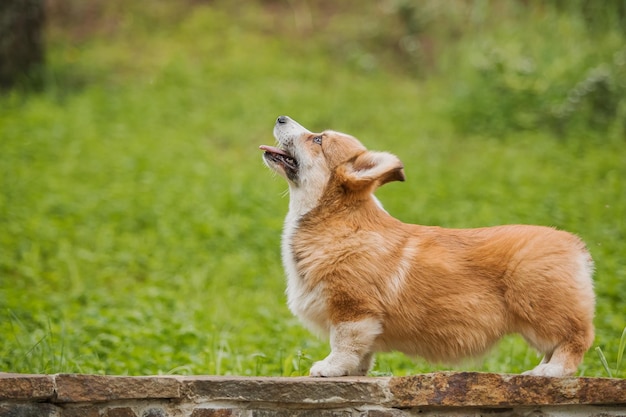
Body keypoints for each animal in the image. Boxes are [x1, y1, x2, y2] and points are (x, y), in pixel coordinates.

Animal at [258, 114, 596, 376]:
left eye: (317, 139)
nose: (280, 118)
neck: (335, 218)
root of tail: (575, 244)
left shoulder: (352, 308)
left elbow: (343, 344)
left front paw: (329, 368)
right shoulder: (361, 320)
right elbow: (362, 352)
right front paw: (354, 372)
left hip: (539, 307)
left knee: (576, 340)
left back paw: (549, 371)